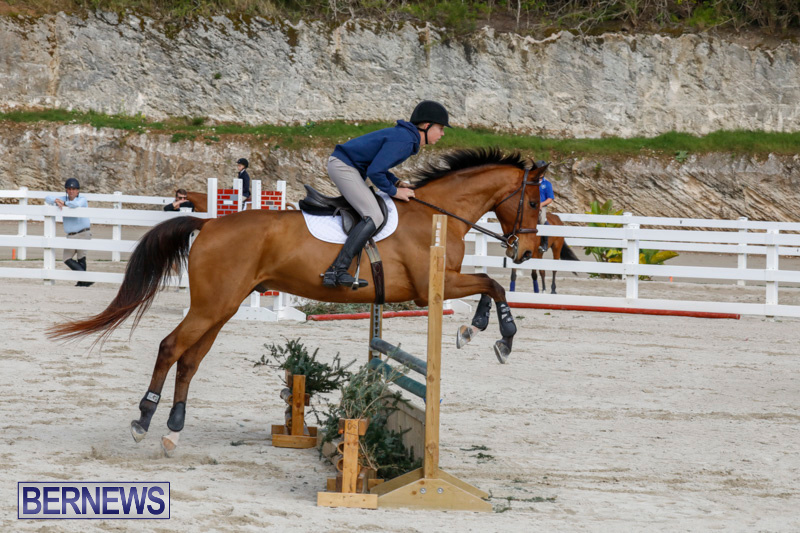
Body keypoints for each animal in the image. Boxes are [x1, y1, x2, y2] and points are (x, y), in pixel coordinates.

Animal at [48, 148, 545, 454]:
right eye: (538, 203)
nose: (527, 251)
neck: (440, 215)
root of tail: (209, 223)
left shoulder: (439, 284)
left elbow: (489, 285)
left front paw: (473, 328)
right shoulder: (432, 284)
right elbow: (492, 284)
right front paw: (500, 336)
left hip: (222, 307)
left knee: (191, 359)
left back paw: (173, 430)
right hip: (212, 306)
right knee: (172, 348)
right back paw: (144, 420)